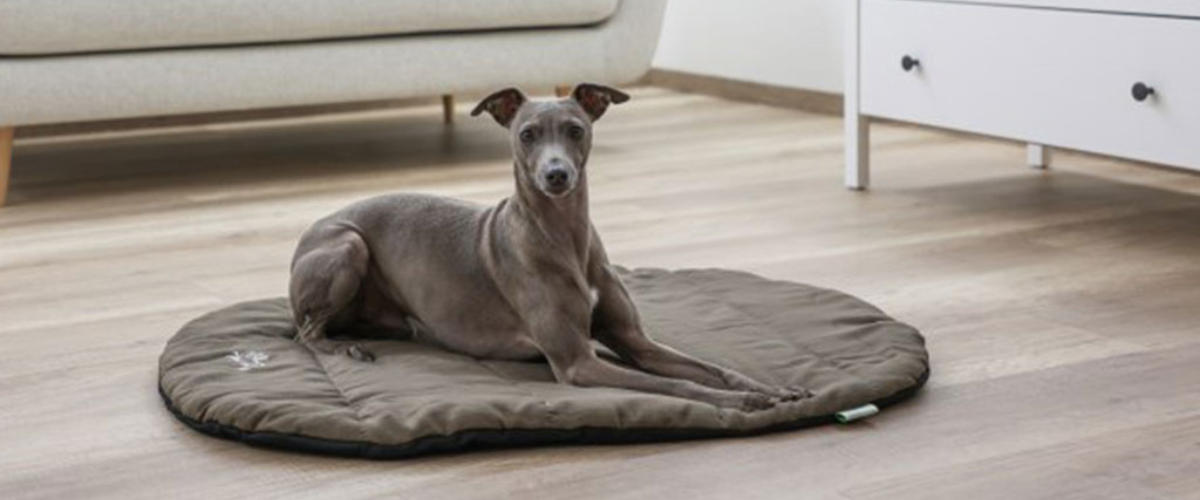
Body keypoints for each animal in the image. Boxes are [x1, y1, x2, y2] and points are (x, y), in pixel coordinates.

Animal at [288, 84, 810, 411]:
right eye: (527, 134)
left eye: (576, 129)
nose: (556, 175)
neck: (564, 238)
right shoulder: (578, 363)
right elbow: (680, 383)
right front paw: (746, 402)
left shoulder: (637, 343)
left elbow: (711, 369)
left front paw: (772, 388)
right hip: (349, 245)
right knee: (307, 334)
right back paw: (348, 349)